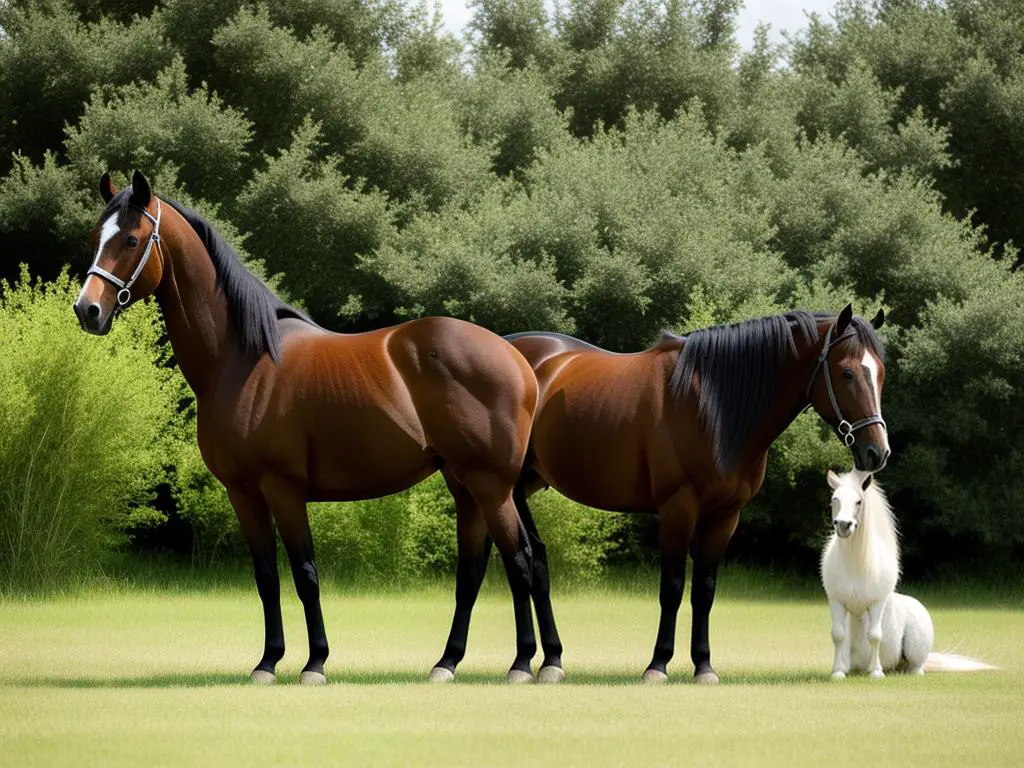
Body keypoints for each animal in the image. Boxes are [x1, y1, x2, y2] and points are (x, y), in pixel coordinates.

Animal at [72, 173, 540, 684]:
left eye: (132, 239)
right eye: (96, 237)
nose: (87, 310)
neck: (242, 359)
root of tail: (517, 360)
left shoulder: (284, 489)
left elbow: (305, 573)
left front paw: (314, 662)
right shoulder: (244, 493)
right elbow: (266, 577)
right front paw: (267, 661)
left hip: (490, 486)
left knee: (521, 561)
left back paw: (524, 663)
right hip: (464, 486)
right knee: (474, 573)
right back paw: (450, 662)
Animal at [468, 309, 892, 684]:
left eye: (881, 373)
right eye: (847, 372)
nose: (877, 453)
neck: (713, 405)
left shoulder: (725, 516)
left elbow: (704, 591)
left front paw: (703, 666)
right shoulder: (678, 508)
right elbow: (671, 589)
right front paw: (658, 664)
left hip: (520, 487)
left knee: (534, 561)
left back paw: (551, 661)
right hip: (502, 487)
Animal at [819, 468, 995, 679]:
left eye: (858, 501)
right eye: (834, 499)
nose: (844, 525)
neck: (855, 565)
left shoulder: (877, 603)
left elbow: (874, 636)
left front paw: (875, 672)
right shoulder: (836, 601)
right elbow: (839, 635)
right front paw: (838, 672)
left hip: (915, 653)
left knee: (916, 666)